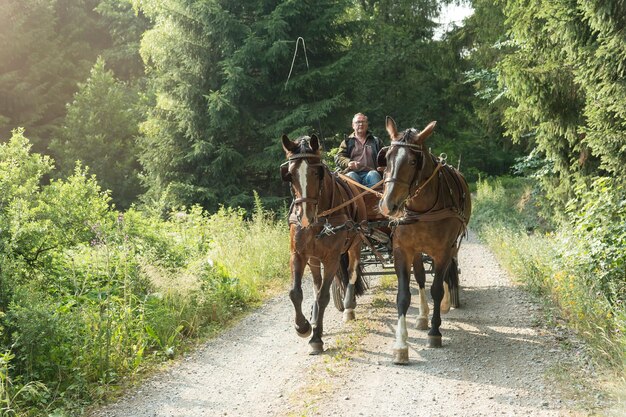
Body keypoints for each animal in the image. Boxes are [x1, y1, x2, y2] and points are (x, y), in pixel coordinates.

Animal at [282, 134, 368, 354]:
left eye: (316, 172)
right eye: (290, 174)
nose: (304, 217)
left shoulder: (332, 259)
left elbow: (323, 296)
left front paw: (316, 338)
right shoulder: (298, 255)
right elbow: (296, 292)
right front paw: (303, 326)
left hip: (355, 244)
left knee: (351, 273)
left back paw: (348, 306)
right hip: (313, 258)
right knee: (316, 282)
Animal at [376, 115, 468, 362]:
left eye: (413, 161)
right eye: (386, 157)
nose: (388, 205)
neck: (423, 209)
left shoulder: (444, 250)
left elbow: (437, 287)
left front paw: (435, 332)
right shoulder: (403, 250)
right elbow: (403, 296)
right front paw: (401, 345)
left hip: (449, 247)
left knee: (443, 275)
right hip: (417, 252)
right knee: (420, 277)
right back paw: (422, 317)